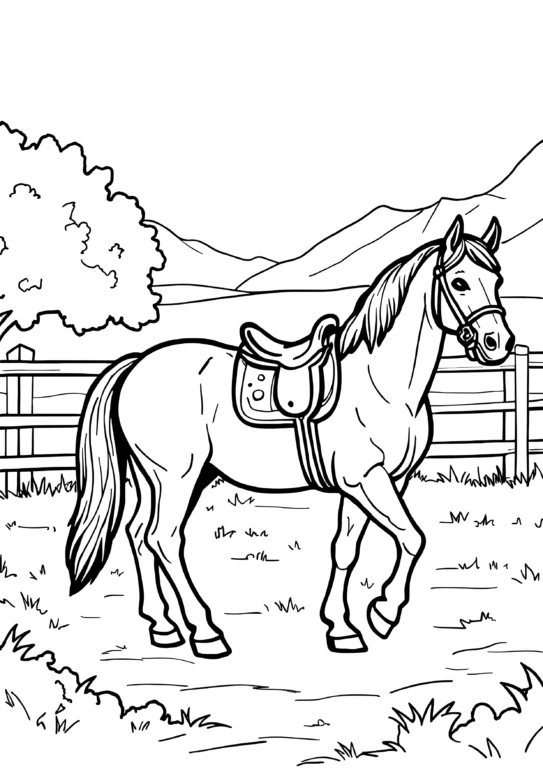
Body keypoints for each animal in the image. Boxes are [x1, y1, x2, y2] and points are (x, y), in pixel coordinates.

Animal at [66, 214, 514, 658]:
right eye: (459, 282)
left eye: (497, 279)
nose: (499, 343)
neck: (382, 385)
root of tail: (137, 363)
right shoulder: (365, 479)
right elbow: (412, 537)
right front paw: (384, 612)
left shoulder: (376, 483)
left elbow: (346, 548)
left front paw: (342, 628)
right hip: (177, 477)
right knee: (164, 538)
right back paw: (206, 633)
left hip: (161, 478)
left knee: (139, 535)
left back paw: (162, 625)